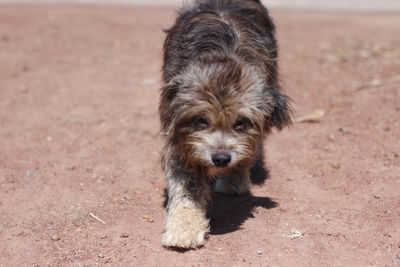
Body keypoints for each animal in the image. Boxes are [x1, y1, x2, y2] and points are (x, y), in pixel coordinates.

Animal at [158, 0, 292, 249]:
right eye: (201, 120)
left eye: (241, 123)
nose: (221, 159)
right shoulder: (180, 139)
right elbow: (186, 185)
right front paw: (184, 229)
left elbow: (247, 153)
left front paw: (234, 180)